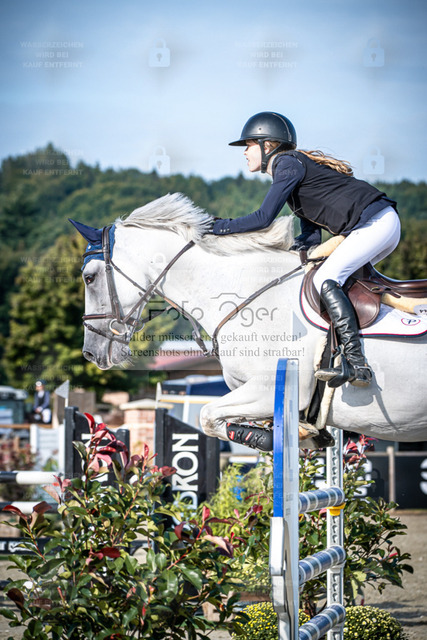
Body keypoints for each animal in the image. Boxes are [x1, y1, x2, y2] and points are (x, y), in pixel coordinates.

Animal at [71, 193, 427, 446]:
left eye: (89, 278)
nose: (90, 352)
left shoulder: (271, 388)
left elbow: (207, 416)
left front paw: (271, 438)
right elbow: (217, 420)